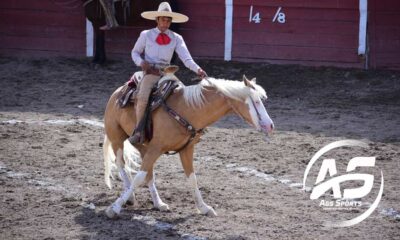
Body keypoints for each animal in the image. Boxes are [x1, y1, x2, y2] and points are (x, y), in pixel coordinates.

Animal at [102, 75, 276, 218]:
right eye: (256, 101)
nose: (270, 126)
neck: (187, 110)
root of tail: (117, 92)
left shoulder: (186, 149)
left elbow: (192, 178)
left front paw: (204, 208)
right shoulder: (156, 148)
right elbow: (138, 177)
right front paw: (114, 208)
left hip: (143, 146)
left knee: (148, 173)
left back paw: (158, 203)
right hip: (117, 138)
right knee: (121, 164)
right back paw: (129, 196)